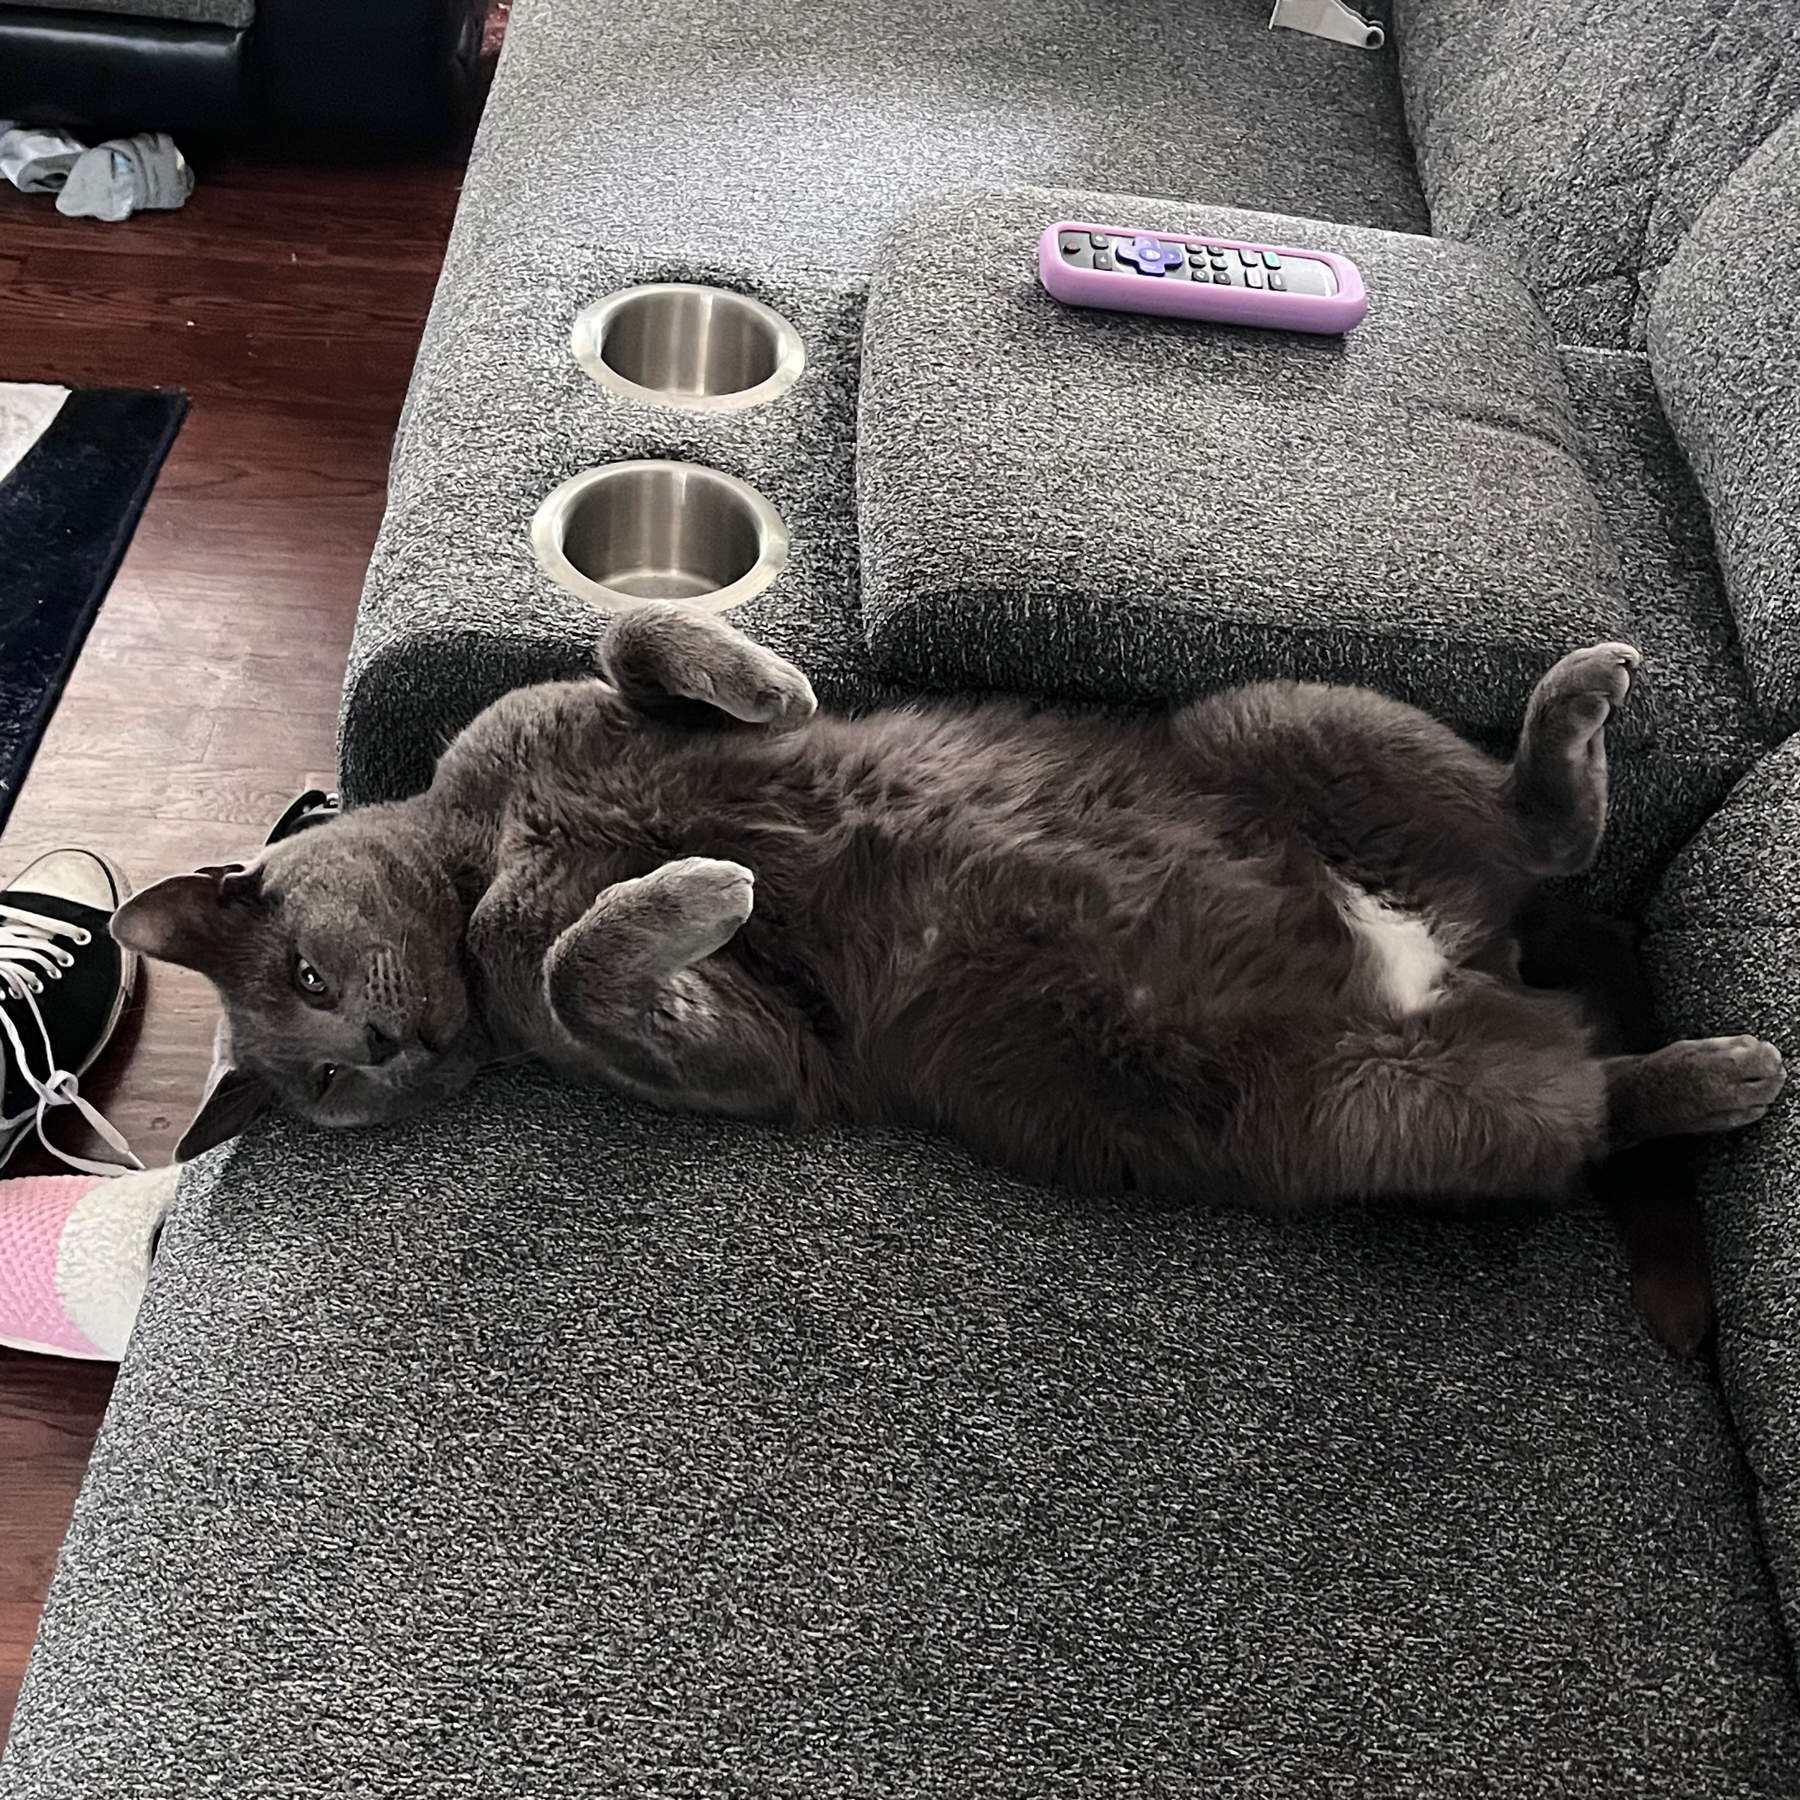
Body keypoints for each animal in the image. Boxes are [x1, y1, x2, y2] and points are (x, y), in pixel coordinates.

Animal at [116, 608, 1785, 1224]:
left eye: (311, 973)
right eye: (328, 1079)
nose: (387, 1046)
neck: (478, 864)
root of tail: (1459, 964)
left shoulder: (545, 720)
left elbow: (635, 631)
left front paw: (767, 685)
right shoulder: (740, 1056)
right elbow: (596, 964)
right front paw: (700, 888)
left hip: (1285, 718)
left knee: (1533, 831)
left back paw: (1581, 704)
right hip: (1380, 1109)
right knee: (1588, 1101)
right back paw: (1727, 1071)